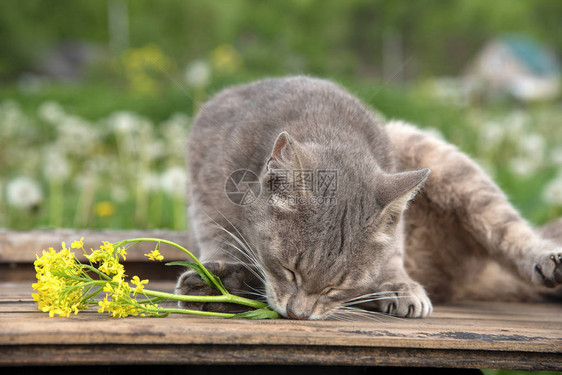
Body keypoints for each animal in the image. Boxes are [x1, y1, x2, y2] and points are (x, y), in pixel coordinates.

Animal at [176, 76, 560, 320]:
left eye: (335, 287)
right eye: (289, 271)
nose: (299, 315)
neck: (326, 124)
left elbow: (392, 250)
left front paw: (398, 283)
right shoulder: (206, 176)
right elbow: (217, 231)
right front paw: (221, 273)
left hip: (444, 164)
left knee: (512, 232)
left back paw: (548, 261)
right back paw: (221, 287)